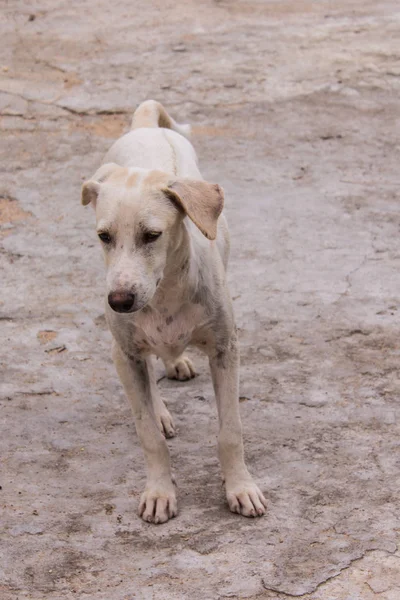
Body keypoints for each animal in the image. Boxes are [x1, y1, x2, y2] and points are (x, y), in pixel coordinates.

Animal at [81, 101, 268, 524]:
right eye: (104, 237)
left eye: (152, 236)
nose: (118, 301)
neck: (165, 295)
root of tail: (146, 125)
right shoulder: (125, 352)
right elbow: (147, 434)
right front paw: (159, 491)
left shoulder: (226, 349)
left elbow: (230, 432)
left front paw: (240, 487)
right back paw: (161, 409)